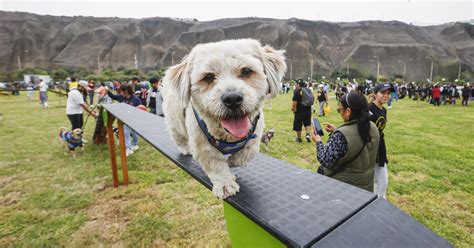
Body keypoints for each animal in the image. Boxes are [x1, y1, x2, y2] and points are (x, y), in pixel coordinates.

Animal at [163, 39, 286, 200]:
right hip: (174, 121)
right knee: (178, 137)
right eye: (208, 77)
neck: (229, 137)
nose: (232, 98)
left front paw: (232, 161)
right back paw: (185, 148)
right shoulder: (203, 146)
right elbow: (216, 166)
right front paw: (225, 184)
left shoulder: (255, 133)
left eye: (246, 71)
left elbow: (248, 152)